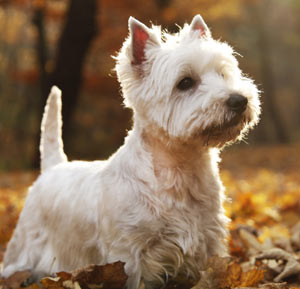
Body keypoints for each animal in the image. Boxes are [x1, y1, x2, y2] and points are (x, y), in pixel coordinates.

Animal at [1, 15, 260, 288]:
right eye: (185, 82)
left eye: (223, 73)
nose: (239, 100)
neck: (180, 169)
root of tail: (53, 167)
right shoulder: (128, 252)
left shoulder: (208, 238)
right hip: (26, 239)